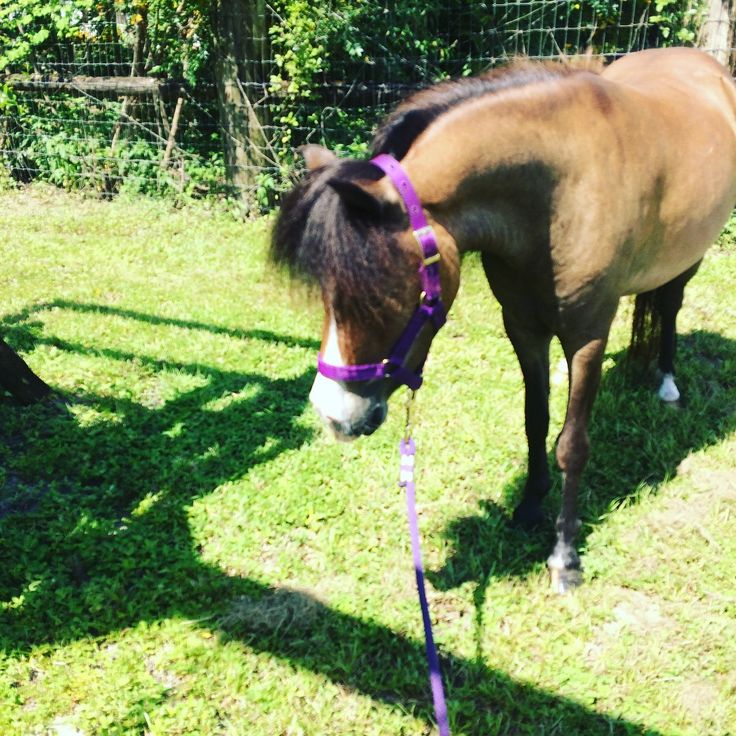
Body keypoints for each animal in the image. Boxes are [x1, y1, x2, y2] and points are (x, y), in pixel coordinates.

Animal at [272, 49, 736, 592]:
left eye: (381, 294)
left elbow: (572, 444)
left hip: (689, 258)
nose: (332, 415)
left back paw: (666, 381)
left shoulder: (587, 337)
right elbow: (536, 423)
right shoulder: (523, 326)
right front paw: (529, 509)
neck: (559, 193)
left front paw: (564, 556)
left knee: (669, 306)